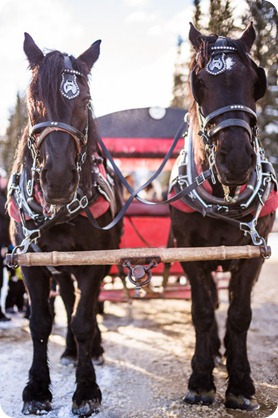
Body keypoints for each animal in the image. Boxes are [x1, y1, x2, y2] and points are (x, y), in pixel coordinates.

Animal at [7, 34, 122, 416]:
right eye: (33, 99)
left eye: (84, 100)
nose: (57, 178)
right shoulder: (31, 264)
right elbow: (41, 322)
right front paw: (37, 388)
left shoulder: (94, 264)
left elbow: (84, 320)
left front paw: (86, 389)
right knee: (69, 300)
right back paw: (70, 350)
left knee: (84, 306)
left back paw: (91, 350)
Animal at [168, 23, 276, 412]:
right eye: (199, 82)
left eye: (255, 80)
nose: (237, 159)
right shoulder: (189, 253)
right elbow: (201, 310)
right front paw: (201, 381)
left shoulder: (254, 254)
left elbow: (240, 315)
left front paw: (240, 383)